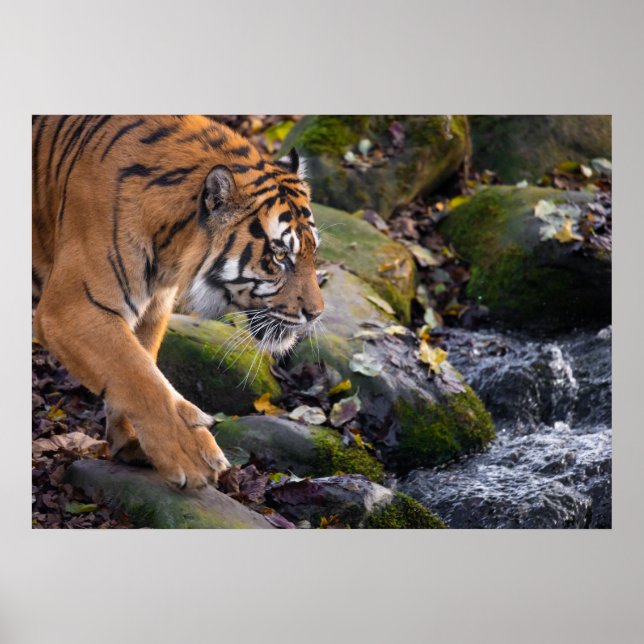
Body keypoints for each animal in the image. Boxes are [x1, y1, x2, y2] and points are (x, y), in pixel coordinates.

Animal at [32, 115, 324, 489]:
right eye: (280, 255)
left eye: (312, 252)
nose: (316, 313)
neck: (170, 247)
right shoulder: (71, 309)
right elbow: (138, 376)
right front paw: (192, 454)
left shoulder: (153, 306)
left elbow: (141, 362)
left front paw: (131, 443)